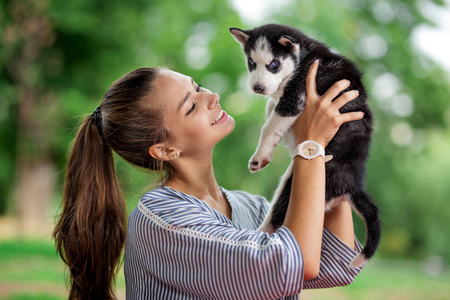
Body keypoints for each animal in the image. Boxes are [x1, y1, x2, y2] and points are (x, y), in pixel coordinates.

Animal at [230, 24, 382, 268]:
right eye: (251, 62)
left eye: (274, 64)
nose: (258, 88)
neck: (303, 58)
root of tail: (352, 184)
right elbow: (271, 109)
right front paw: (271, 148)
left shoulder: (294, 96)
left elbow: (270, 125)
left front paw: (260, 155)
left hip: (292, 185)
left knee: (275, 223)